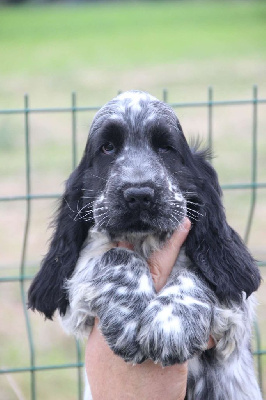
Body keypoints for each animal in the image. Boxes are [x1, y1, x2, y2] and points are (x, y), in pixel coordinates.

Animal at [28, 91, 262, 400]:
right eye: (107, 148)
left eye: (166, 148)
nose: (139, 194)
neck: (145, 241)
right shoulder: (77, 308)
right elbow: (112, 254)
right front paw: (129, 316)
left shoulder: (236, 313)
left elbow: (200, 271)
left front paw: (171, 324)